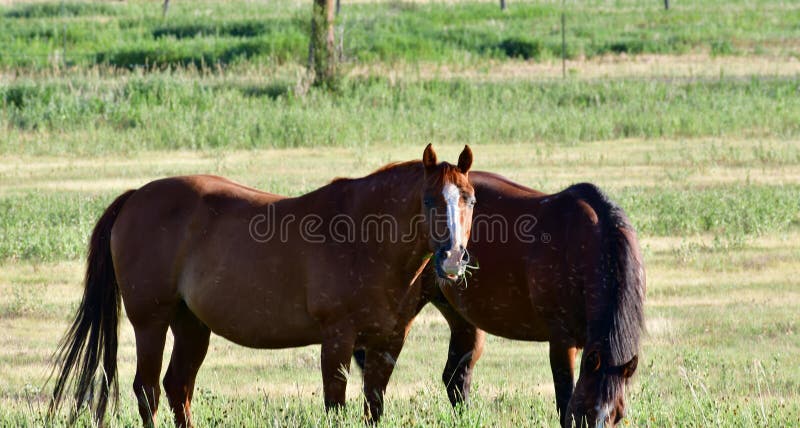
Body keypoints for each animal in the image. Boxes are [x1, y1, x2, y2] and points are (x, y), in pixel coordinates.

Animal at [50, 145, 476, 426]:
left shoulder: (388, 342)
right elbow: (336, 407)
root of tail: (135, 197)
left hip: (191, 325)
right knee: (148, 390)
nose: (453, 259)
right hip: (150, 323)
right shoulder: (337, 340)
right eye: (429, 200)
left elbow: (374, 408)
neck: (364, 238)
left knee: (177, 387)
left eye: (469, 200)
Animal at [356, 171, 644, 428]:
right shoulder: (562, 341)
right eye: (583, 412)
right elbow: (564, 402)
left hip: (462, 319)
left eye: (618, 414)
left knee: (455, 379)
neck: (583, 244)